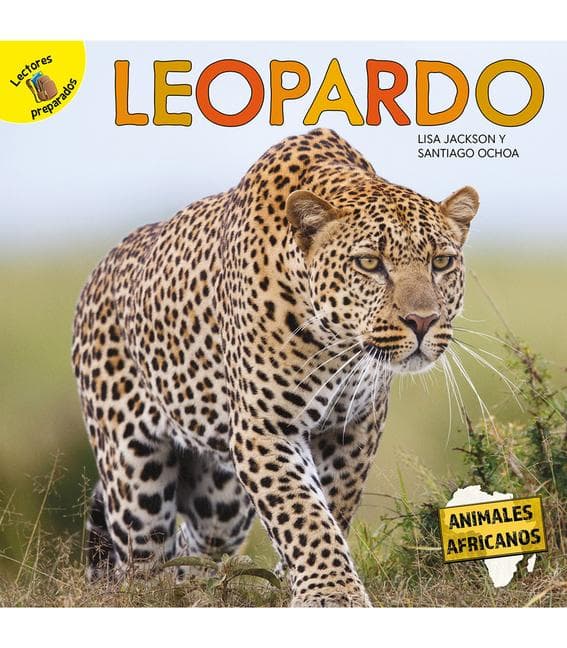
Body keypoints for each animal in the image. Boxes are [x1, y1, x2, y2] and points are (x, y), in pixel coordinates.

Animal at [72, 127, 479, 607]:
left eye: (441, 262)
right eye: (369, 263)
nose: (422, 321)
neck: (338, 345)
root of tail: (98, 272)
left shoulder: (354, 426)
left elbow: (331, 504)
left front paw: (295, 579)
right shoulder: (264, 428)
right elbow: (300, 509)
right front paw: (331, 592)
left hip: (221, 499)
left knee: (197, 546)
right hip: (135, 478)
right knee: (141, 562)